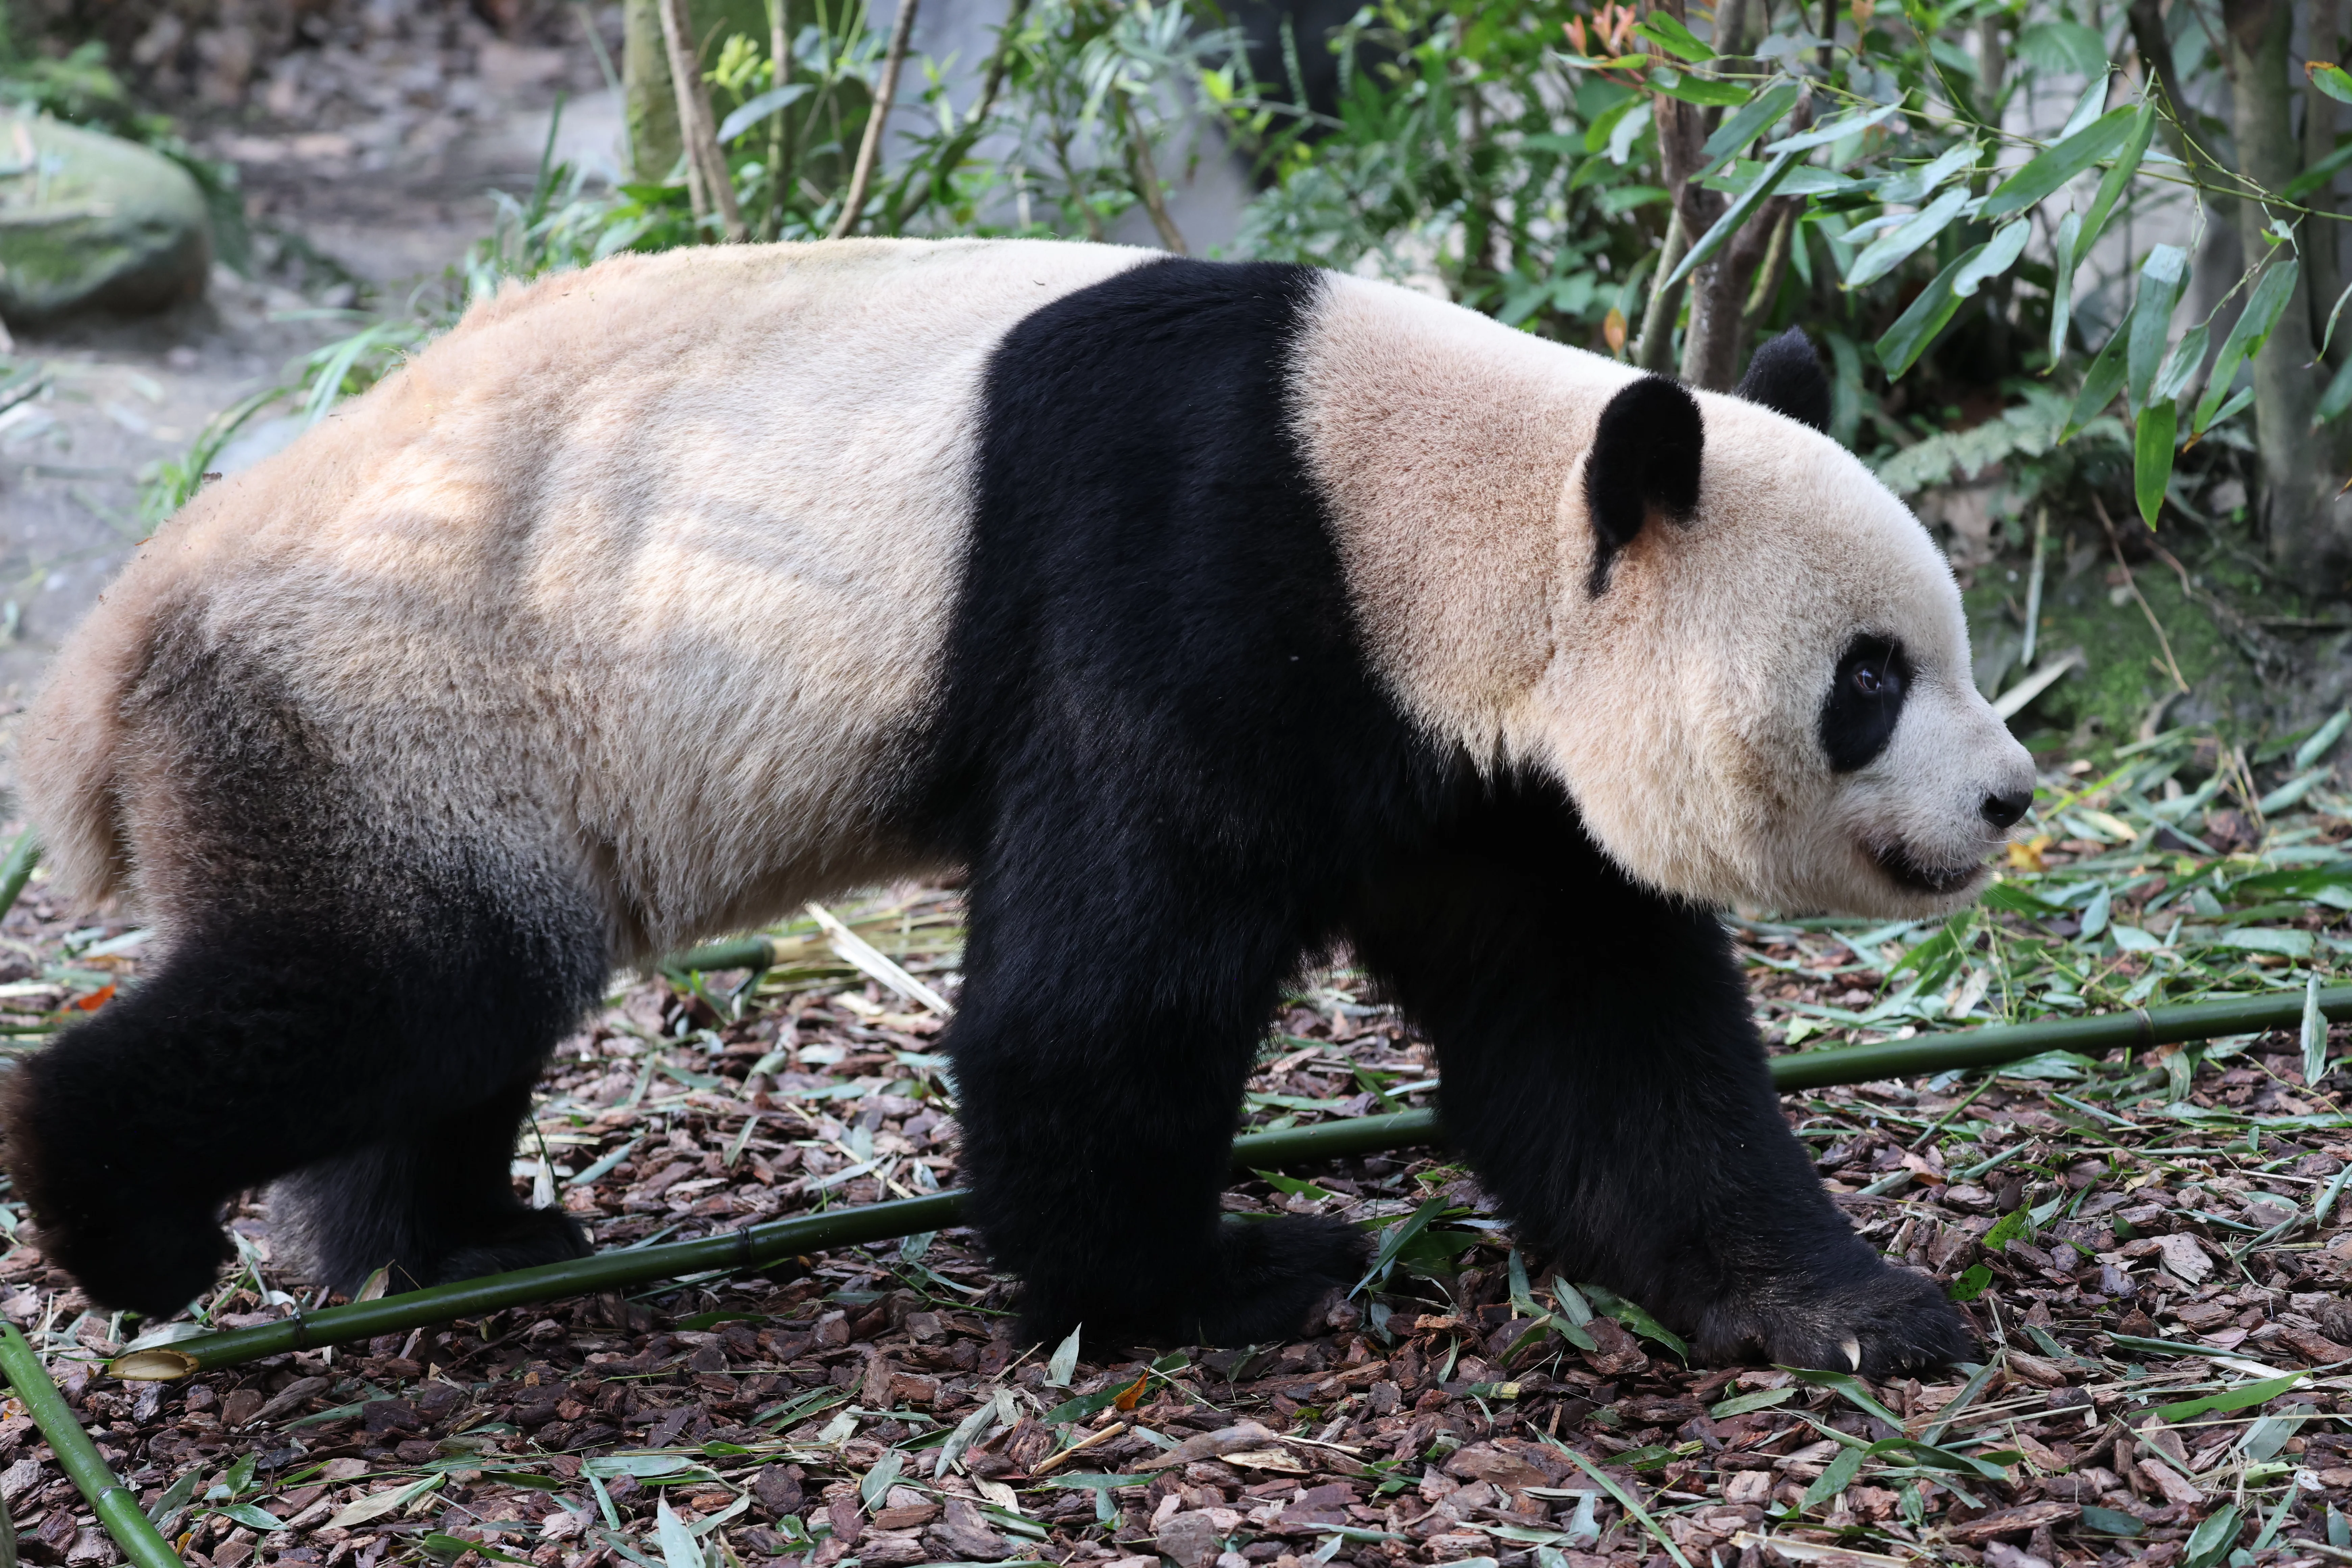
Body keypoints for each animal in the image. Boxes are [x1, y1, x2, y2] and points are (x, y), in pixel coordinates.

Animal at [8, 238, 2033, 1372]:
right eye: (1868, 680)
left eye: (1941, 643)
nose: (2010, 797)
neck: (1420, 495)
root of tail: (119, 640)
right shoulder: (1185, 581)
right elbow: (1096, 999)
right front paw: (1210, 1278)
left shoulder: (1478, 772)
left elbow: (1599, 1033)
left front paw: (1842, 1310)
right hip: (394, 693)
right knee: (384, 984)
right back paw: (129, 1222)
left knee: (456, 998)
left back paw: (439, 1240)